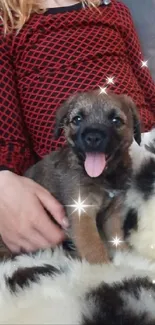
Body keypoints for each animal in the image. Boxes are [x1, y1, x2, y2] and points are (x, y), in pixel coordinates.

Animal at [25, 90, 140, 262]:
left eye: (116, 120)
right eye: (77, 119)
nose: (93, 138)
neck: (103, 177)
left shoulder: (113, 213)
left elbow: (116, 237)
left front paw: (125, 256)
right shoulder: (82, 213)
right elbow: (93, 246)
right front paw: (104, 266)